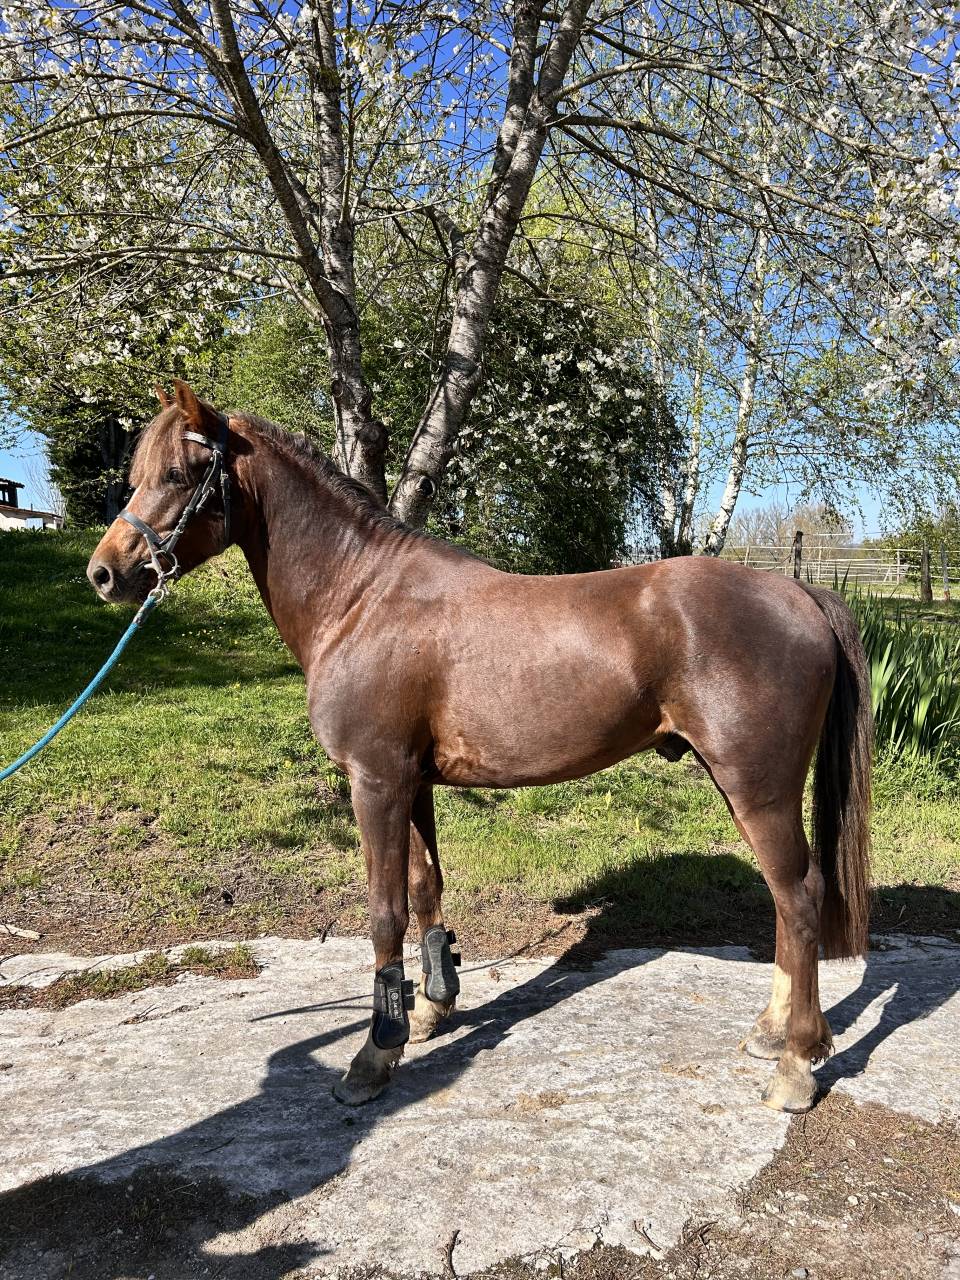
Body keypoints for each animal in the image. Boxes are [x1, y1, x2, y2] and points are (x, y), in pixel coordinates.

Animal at [87, 381, 872, 1114]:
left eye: (180, 473)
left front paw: (374, 1056)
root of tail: (800, 595)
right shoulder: (411, 783)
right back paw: (771, 1032)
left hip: (759, 789)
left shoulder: (374, 781)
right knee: (785, 900)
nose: (105, 572)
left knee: (800, 896)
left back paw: (795, 1065)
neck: (362, 599)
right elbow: (425, 891)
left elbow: (384, 913)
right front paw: (433, 1009)